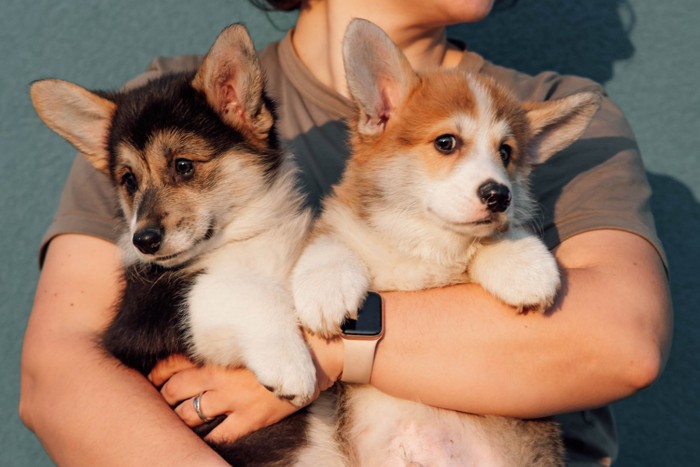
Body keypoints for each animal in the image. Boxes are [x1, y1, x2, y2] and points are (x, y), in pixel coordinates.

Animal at [292, 18, 600, 467]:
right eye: (446, 142)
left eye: (506, 152)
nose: (499, 195)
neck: (423, 242)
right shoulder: (340, 224)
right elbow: (330, 244)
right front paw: (325, 289)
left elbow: (495, 238)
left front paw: (523, 265)